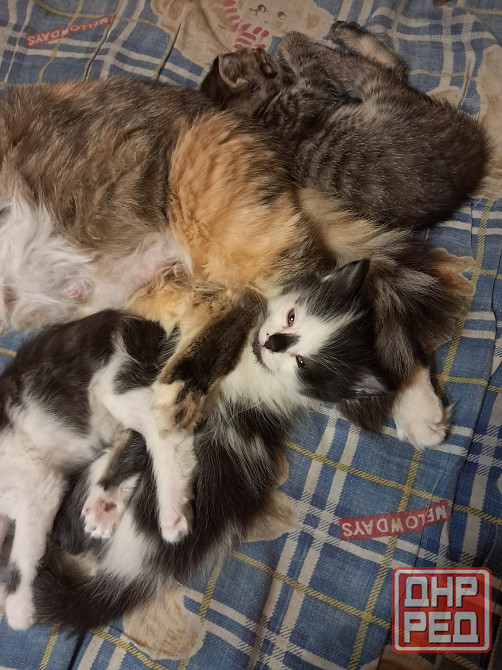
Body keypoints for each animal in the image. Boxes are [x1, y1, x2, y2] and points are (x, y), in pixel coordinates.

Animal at [29, 259, 452, 632]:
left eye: (302, 362)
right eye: (292, 317)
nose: (274, 342)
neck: (252, 367)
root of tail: (137, 570)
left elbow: (152, 431)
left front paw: (109, 497)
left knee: (76, 529)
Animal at [200, 21, 489, 230]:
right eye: (258, 56)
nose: (263, 51)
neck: (258, 113)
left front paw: (286, 54)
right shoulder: (314, 94)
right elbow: (309, 62)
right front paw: (291, 41)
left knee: (390, 68)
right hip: (383, 92)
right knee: (379, 68)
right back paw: (334, 43)